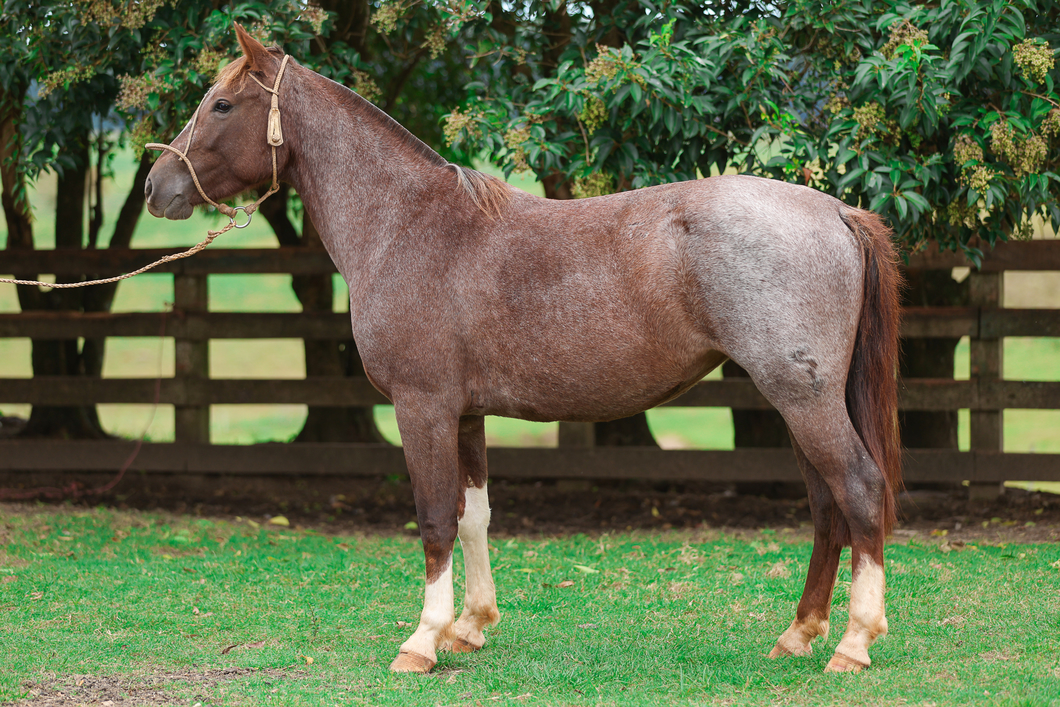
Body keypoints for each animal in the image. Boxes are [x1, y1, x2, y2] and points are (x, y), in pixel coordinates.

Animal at [143, 24, 903, 678]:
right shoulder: (466, 414)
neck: (408, 224)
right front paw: (470, 626)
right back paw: (798, 633)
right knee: (826, 506)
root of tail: (837, 210)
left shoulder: (422, 407)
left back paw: (853, 644)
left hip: (802, 399)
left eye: (222, 104)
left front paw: (422, 640)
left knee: (859, 490)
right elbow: (473, 514)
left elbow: (433, 516)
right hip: (797, 401)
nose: (157, 187)